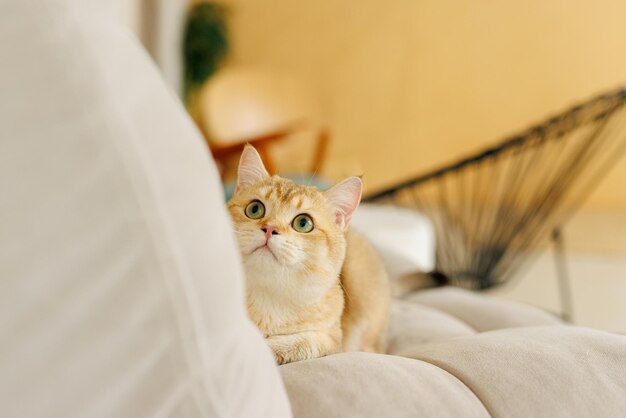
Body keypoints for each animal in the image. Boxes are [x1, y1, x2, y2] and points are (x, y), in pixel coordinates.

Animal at [227, 145, 388, 364]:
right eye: (254, 209)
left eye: (303, 223)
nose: (270, 229)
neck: (268, 296)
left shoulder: (332, 341)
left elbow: (305, 342)